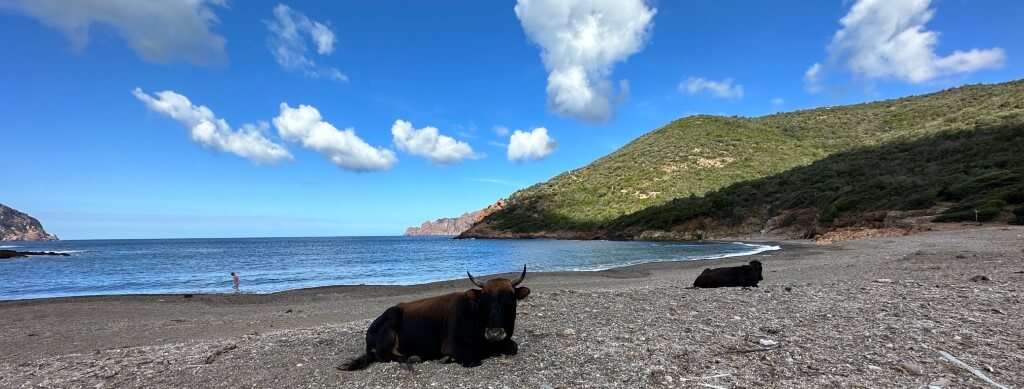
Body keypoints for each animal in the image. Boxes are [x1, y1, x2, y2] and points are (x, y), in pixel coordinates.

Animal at [346, 266, 536, 368]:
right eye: (483, 302)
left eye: (509, 300)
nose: (494, 333)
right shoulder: (452, 345)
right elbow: (474, 358)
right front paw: (448, 358)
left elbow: (513, 347)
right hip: (390, 323)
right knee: (382, 356)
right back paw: (413, 358)